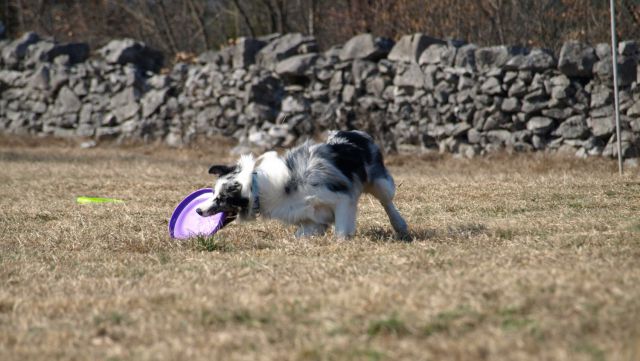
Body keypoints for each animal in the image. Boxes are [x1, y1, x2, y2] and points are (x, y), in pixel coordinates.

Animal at [195, 130, 412, 239]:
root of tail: (353, 132)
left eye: (221, 199)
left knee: (387, 202)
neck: (259, 189)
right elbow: (302, 233)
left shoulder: (342, 199)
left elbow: (341, 231)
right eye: (213, 194)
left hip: (381, 184)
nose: (197, 210)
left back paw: (399, 225)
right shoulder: (311, 220)